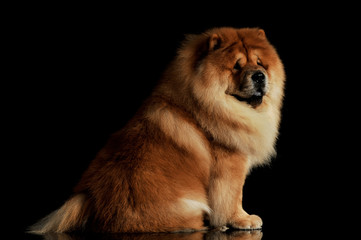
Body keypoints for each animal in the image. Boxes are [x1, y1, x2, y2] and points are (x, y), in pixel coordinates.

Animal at [28, 26, 284, 234]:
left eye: (260, 63)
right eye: (236, 67)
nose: (259, 76)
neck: (205, 105)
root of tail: (90, 201)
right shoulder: (230, 163)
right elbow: (232, 196)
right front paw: (242, 219)